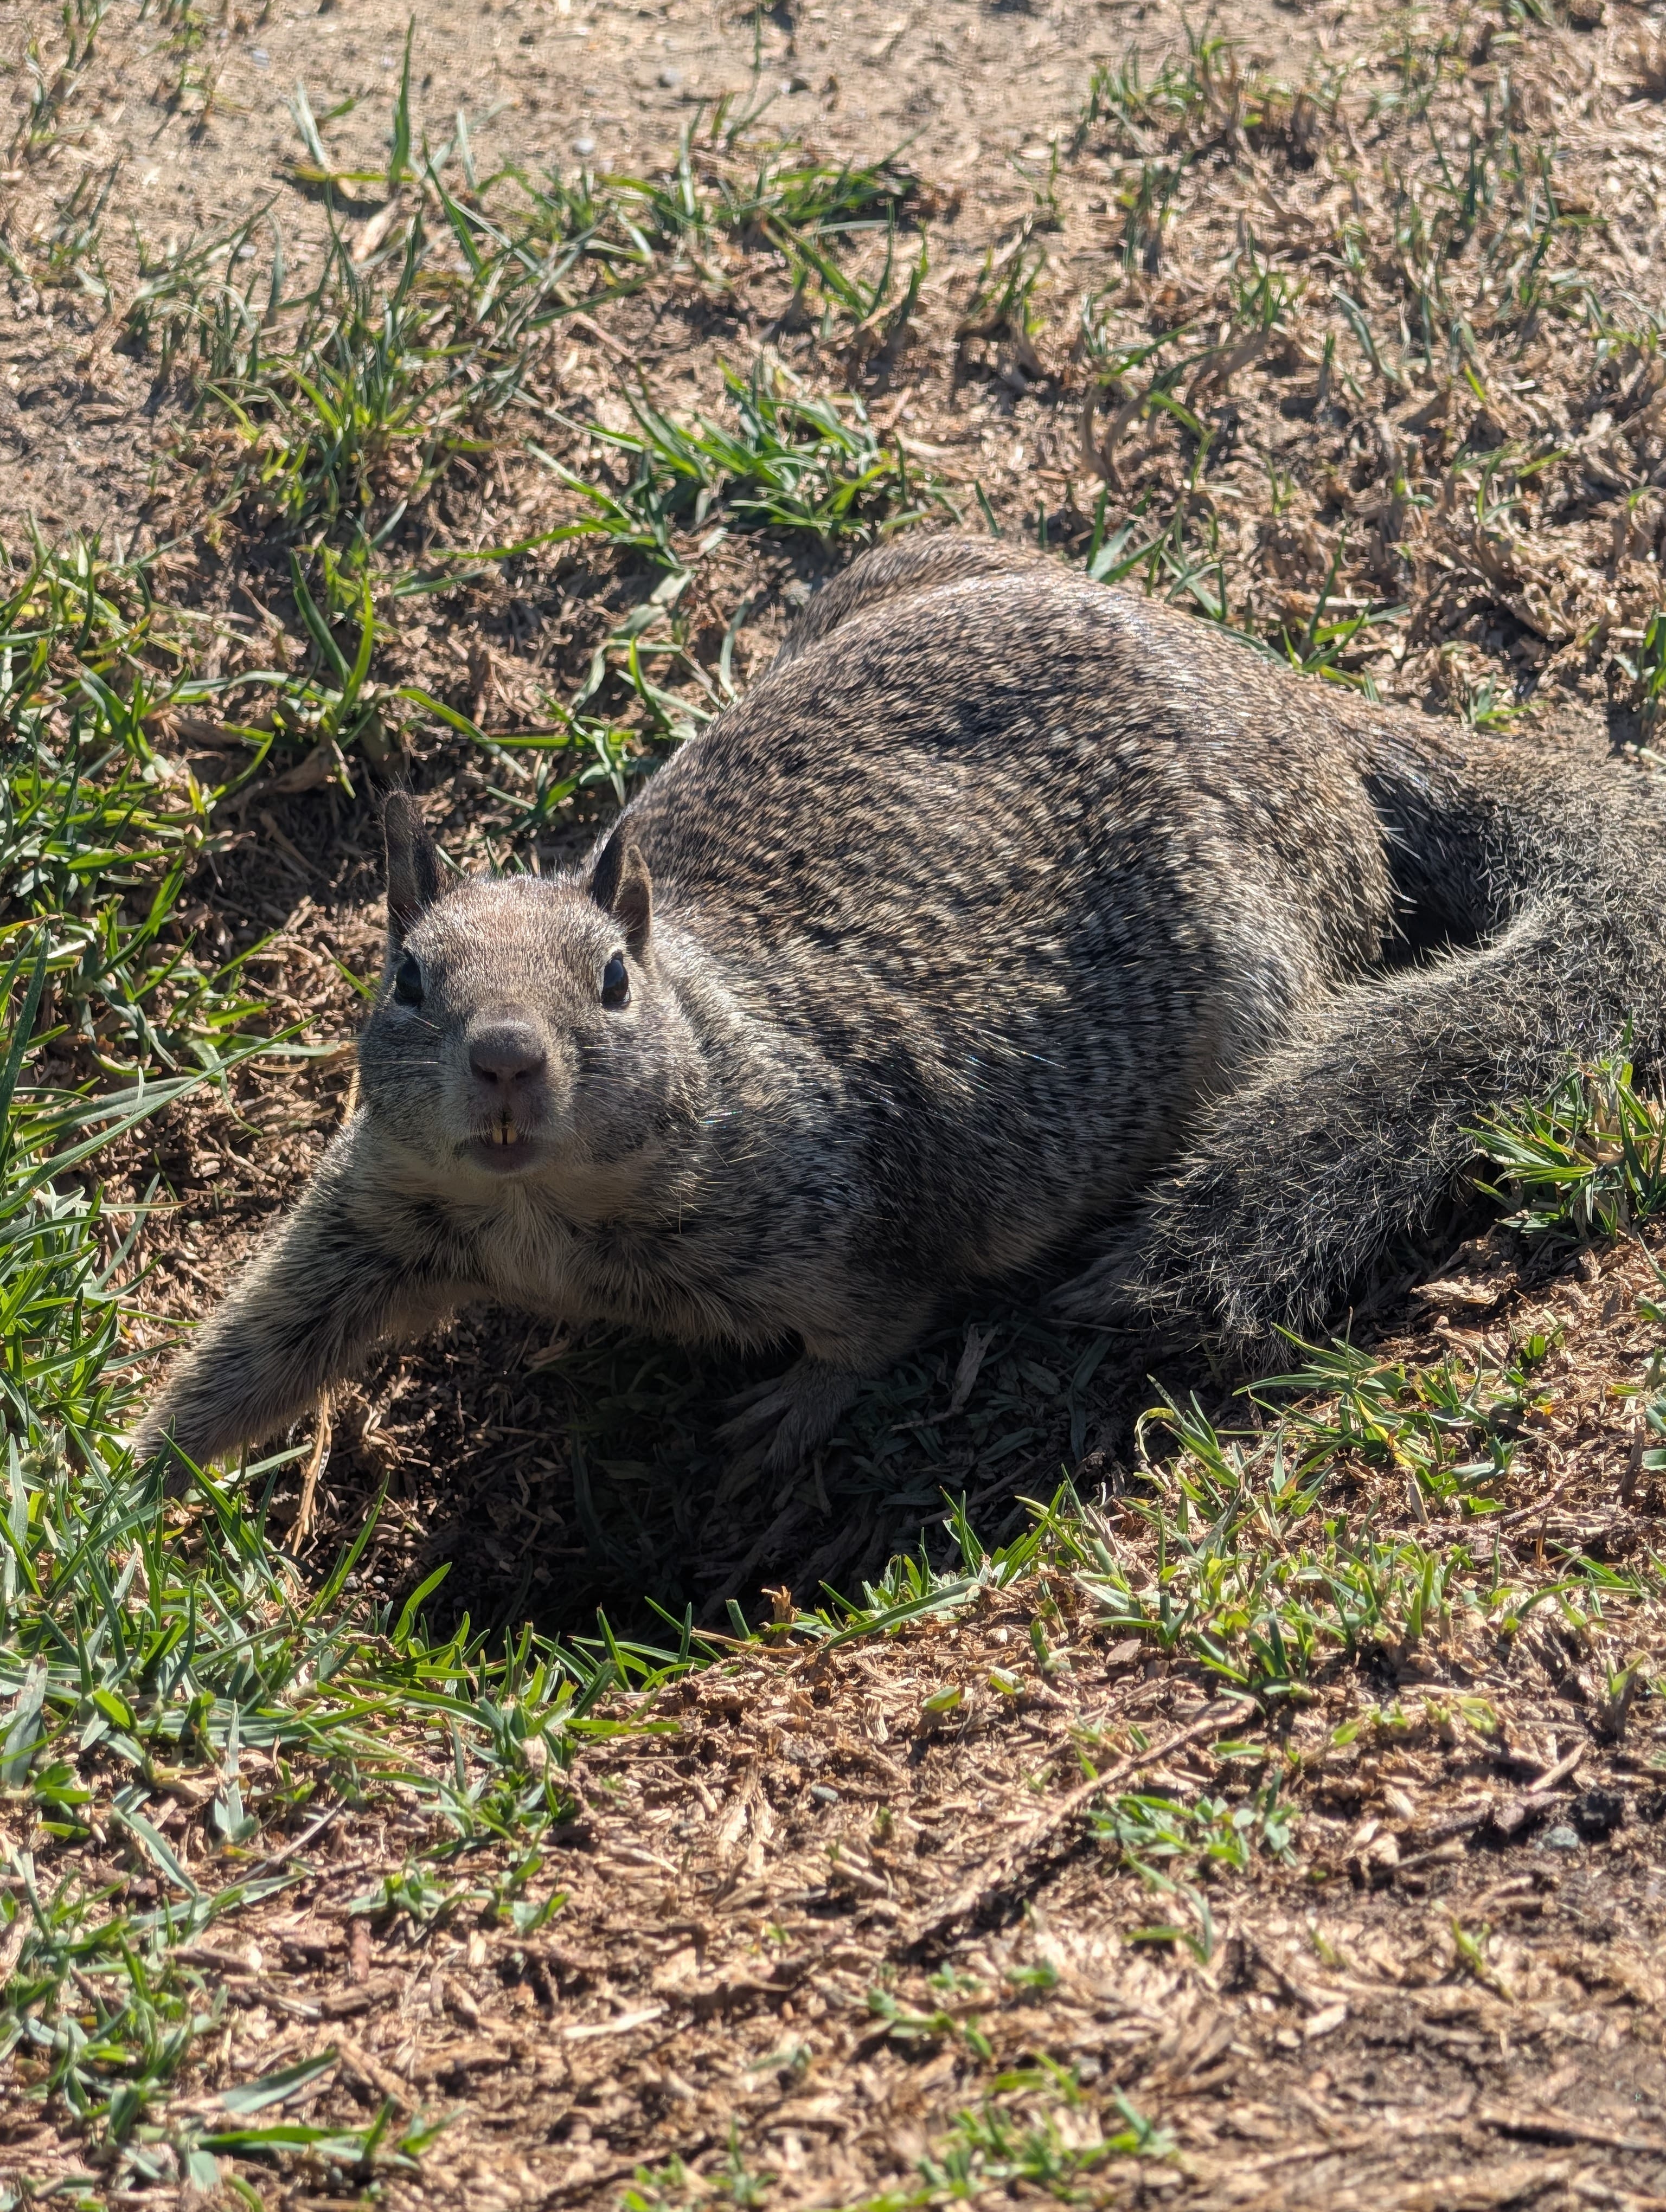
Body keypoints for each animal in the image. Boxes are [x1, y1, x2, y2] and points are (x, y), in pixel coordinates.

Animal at [142, 535, 1666, 1480]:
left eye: (614, 981)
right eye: (407, 977)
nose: (509, 1059)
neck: (545, 1218)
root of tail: (1294, 699)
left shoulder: (853, 1212)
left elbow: (880, 1322)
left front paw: (789, 1414)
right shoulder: (374, 1212)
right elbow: (261, 1344)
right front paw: (133, 1495)